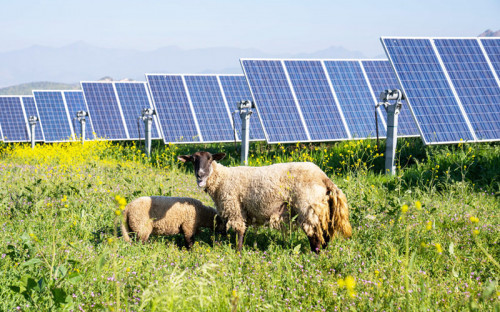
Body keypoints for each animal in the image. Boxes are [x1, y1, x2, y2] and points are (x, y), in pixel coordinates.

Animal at [179, 152, 352, 254]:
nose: (200, 175)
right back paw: (324, 253)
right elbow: (244, 231)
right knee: (326, 234)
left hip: (308, 207)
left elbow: (239, 232)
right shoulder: (244, 211)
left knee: (315, 235)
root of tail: (324, 178)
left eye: (210, 159)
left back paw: (314, 255)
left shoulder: (235, 208)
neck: (222, 178)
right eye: (193, 160)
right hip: (322, 209)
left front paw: (238, 253)